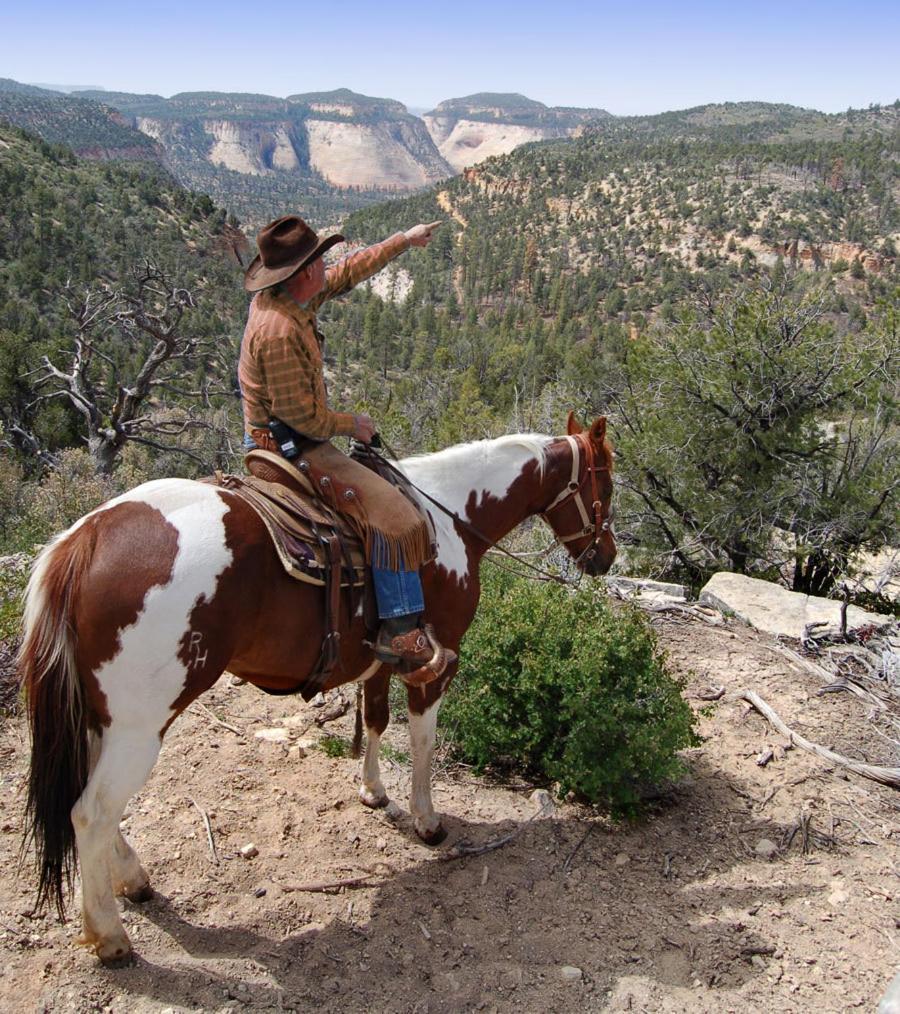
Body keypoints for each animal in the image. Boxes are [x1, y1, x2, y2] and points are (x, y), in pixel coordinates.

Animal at [19, 409, 612, 957]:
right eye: (605, 482)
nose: (605, 558)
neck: (450, 518)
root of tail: (84, 539)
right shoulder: (439, 663)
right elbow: (422, 740)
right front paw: (427, 821)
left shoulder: (384, 659)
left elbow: (376, 721)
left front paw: (373, 791)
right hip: (140, 727)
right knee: (91, 812)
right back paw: (109, 935)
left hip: (103, 717)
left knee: (94, 802)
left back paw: (134, 881)